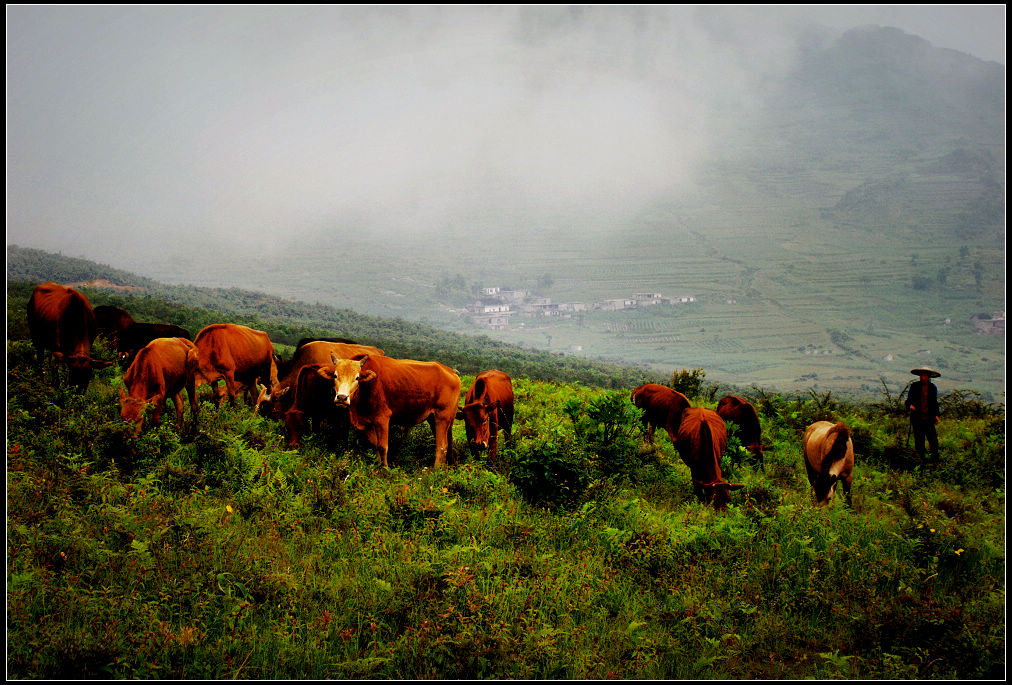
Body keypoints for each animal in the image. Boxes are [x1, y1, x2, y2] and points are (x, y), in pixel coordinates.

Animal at [321, 352, 461, 469]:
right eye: (335, 375)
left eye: (357, 378)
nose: (342, 398)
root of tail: (452, 373)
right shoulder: (369, 422)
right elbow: (374, 445)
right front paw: (377, 467)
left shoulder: (382, 418)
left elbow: (383, 447)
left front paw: (385, 470)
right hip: (434, 419)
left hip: (442, 417)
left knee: (441, 446)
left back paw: (435, 471)